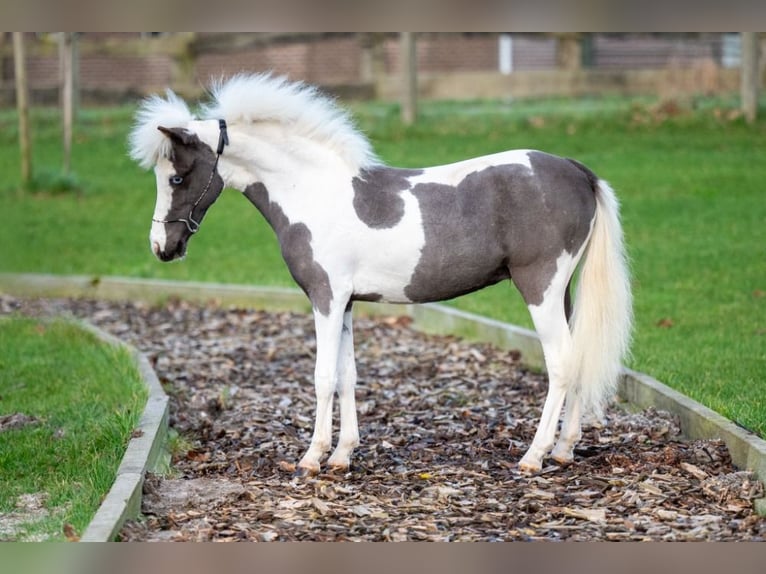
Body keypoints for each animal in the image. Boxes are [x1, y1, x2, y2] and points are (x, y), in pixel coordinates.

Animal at [132, 73, 632, 476]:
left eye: (176, 178)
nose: (161, 247)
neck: (312, 190)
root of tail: (578, 171)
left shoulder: (325, 298)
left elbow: (323, 376)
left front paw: (312, 458)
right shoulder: (346, 303)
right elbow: (348, 375)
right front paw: (342, 456)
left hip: (539, 288)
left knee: (561, 362)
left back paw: (534, 456)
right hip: (560, 293)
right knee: (577, 356)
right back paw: (564, 449)